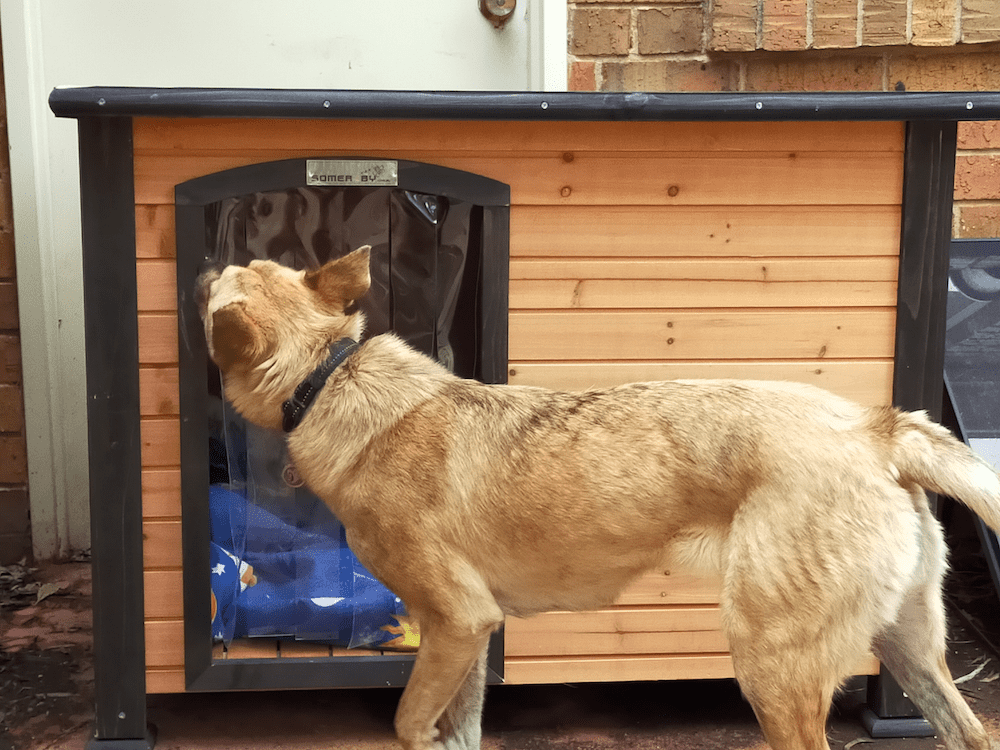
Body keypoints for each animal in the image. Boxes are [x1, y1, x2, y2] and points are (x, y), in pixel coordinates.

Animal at [197, 248, 1000, 750]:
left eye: (215, 288)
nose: (199, 263)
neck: (328, 377)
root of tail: (877, 426)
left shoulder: (458, 622)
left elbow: (407, 724)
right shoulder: (468, 638)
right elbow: (458, 732)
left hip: (772, 665)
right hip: (907, 648)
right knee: (969, 731)